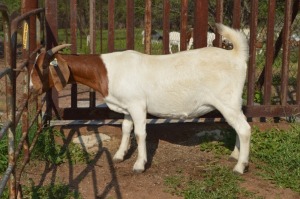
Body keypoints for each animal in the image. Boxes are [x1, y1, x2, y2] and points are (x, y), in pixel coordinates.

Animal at [29, 23, 251, 174]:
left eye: (42, 67)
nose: (31, 88)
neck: (107, 71)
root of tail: (236, 56)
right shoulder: (127, 106)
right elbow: (126, 129)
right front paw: (119, 155)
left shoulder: (137, 105)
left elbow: (140, 134)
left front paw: (139, 164)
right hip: (233, 104)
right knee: (238, 127)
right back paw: (234, 155)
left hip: (227, 102)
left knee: (244, 129)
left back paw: (240, 166)